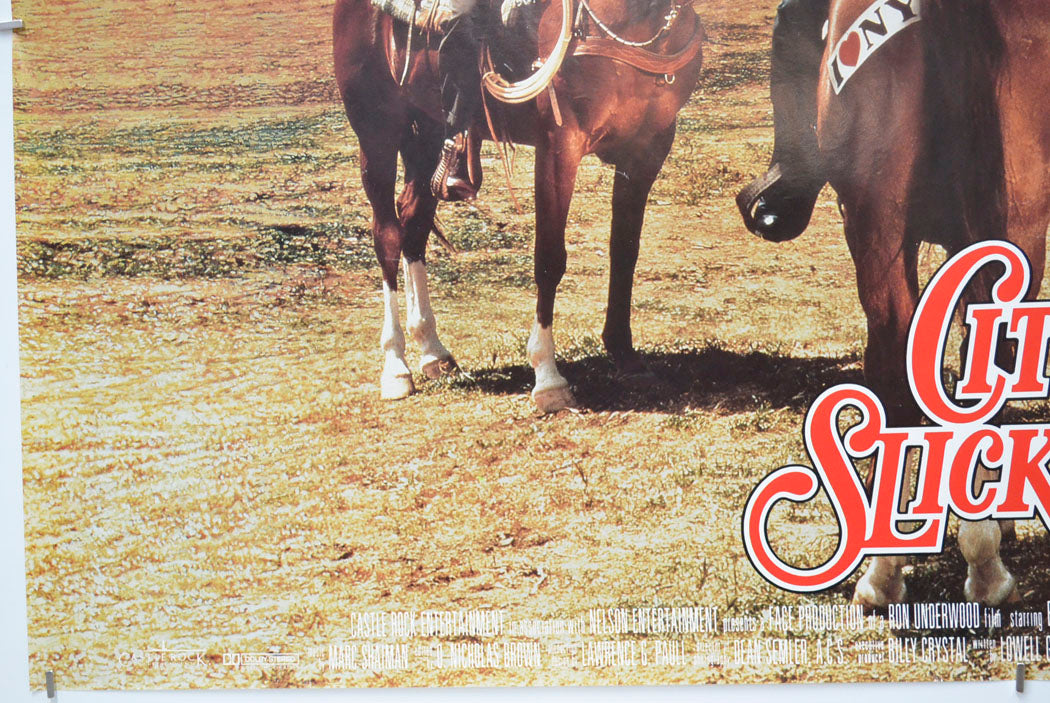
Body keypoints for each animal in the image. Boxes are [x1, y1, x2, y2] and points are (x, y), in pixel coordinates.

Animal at [331, 0, 701, 413]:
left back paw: (432, 350)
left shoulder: (648, 149)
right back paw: (396, 367)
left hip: (425, 130)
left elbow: (624, 252)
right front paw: (548, 378)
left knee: (413, 225)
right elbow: (549, 259)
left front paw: (625, 354)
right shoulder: (559, 146)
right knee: (387, 237)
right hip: (376, 131)